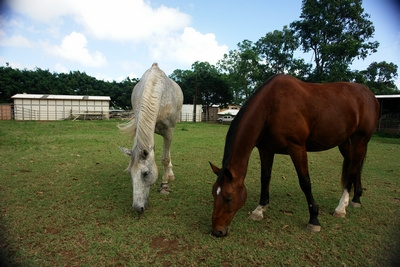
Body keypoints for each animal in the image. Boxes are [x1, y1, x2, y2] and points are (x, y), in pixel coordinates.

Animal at [118, 62, 182, 214]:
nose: (137, 208)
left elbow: (165, 158)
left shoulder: (169, 131)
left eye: (145, 173)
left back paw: (170, 174)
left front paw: (164, 185)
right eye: (130, 174)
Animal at [209, 74, 378, 238]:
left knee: (352, 169)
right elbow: (265, 177)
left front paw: (314, 219)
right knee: (354, 166)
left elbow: (305, 182)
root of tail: (370, 95)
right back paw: (356, 199)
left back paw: (341, 207)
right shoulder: (265, 149)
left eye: (228, 197)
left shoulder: (297, 148)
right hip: (345, 142)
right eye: (214, 193)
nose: (217, 231)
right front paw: (259, 209)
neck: (270, 107)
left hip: (359, 141)